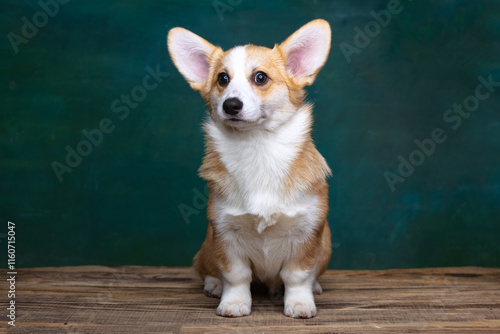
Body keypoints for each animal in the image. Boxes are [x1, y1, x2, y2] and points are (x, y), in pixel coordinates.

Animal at [168, 18, 332, 318]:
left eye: (260, 78)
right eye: (222, 79)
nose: (231, 104)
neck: (258, 147)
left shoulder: (307, 233)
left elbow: (297, 275)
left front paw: (299, 303)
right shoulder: (225, 233)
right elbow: (236, 275)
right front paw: (234, 303)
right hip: (206, 247)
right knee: (207, 269)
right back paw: (214, 286)